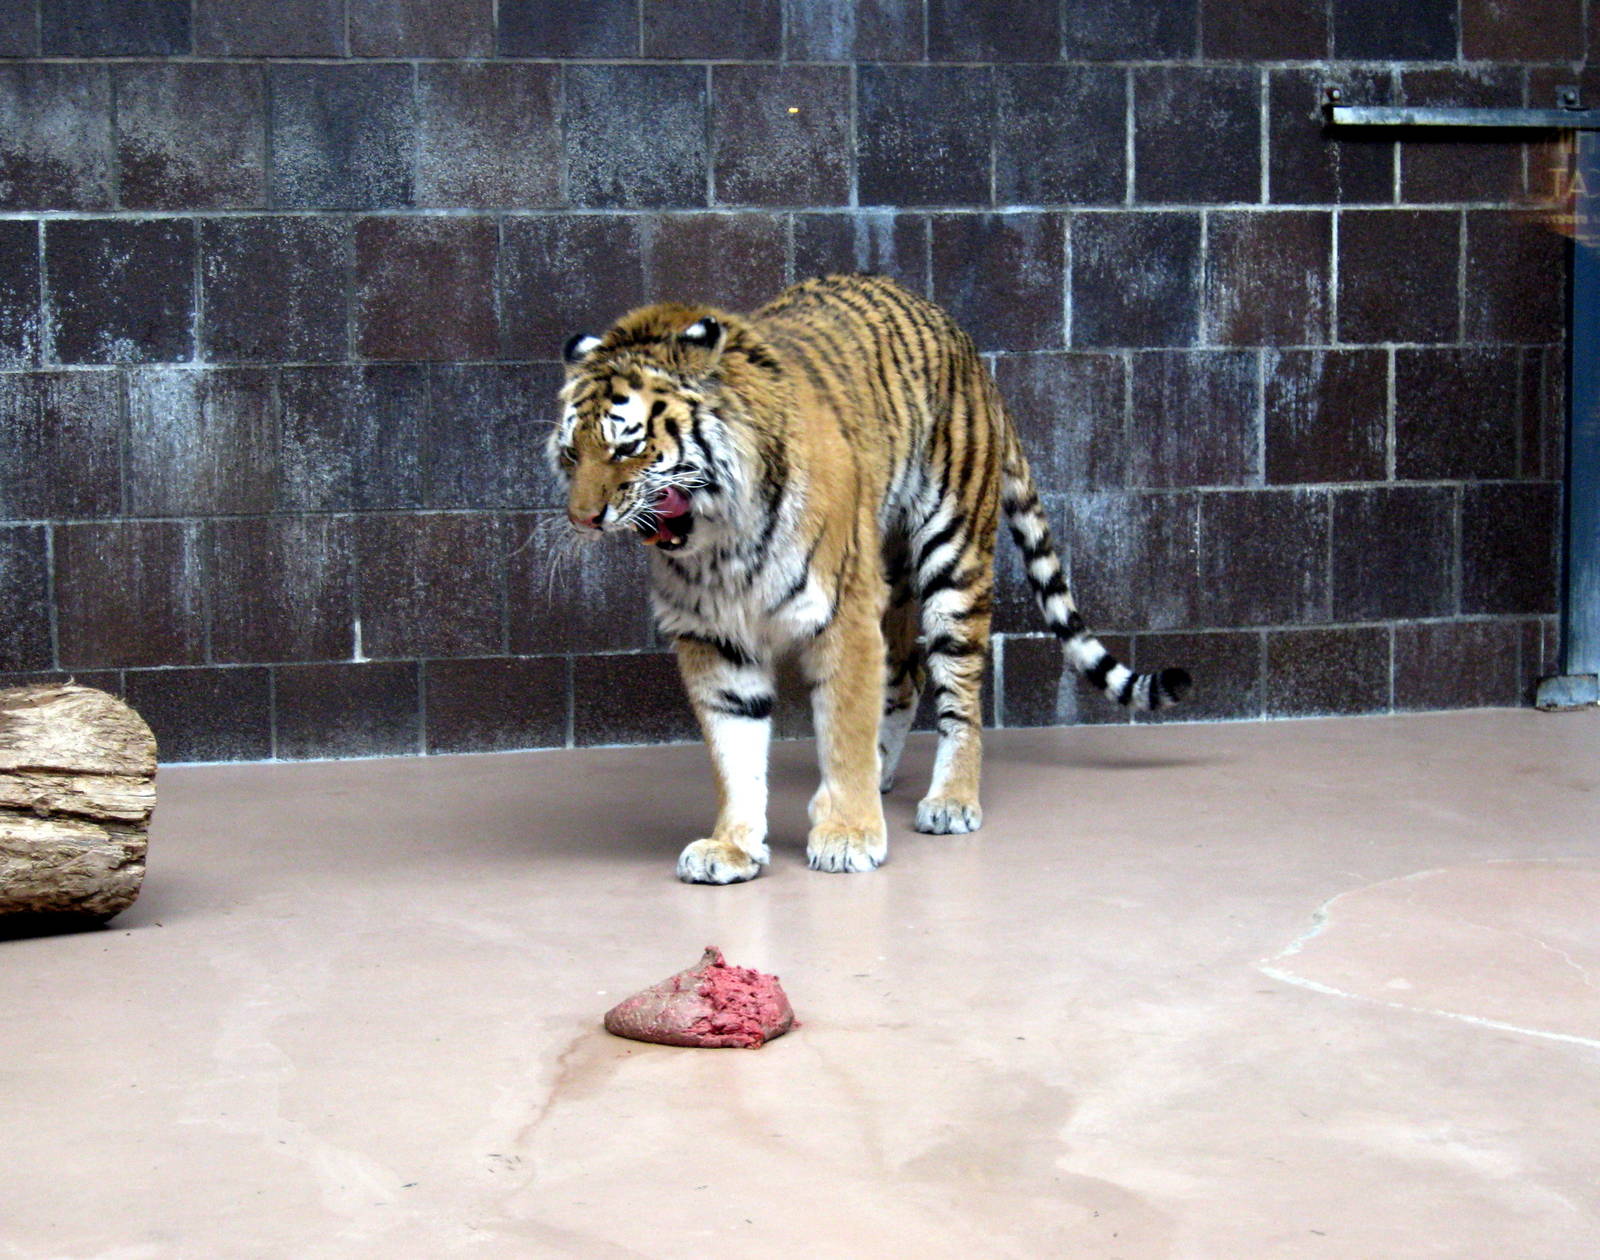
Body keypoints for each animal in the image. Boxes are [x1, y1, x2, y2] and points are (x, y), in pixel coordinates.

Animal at [550, 273, 1190, 884]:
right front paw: (732, 846)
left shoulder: (843, 614)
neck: (721, 541)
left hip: (952, 558)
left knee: (958, 693)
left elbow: (843, 730)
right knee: (905, 678)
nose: (582, 519)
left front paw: (849, 835)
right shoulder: (714, 637)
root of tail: (969, 350)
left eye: (627, 447)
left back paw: (951, 800)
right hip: (893, 575)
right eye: (571, 454)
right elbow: (734, 749)